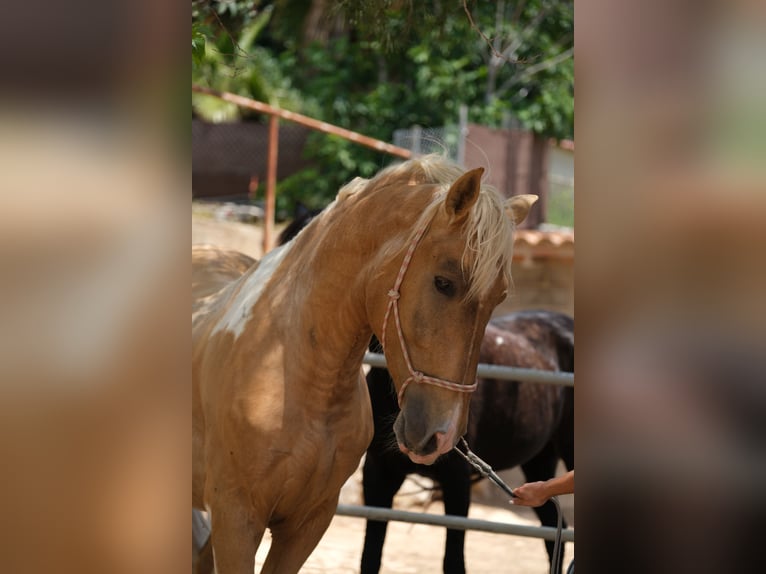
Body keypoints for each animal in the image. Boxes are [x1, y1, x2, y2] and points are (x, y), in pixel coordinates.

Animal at [364, 312, 572, 572]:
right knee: (554, 529)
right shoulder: (378, 475)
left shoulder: (457, 481)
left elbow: (453, 560)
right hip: (539, 460)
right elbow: (370, 556)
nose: (421, 432)